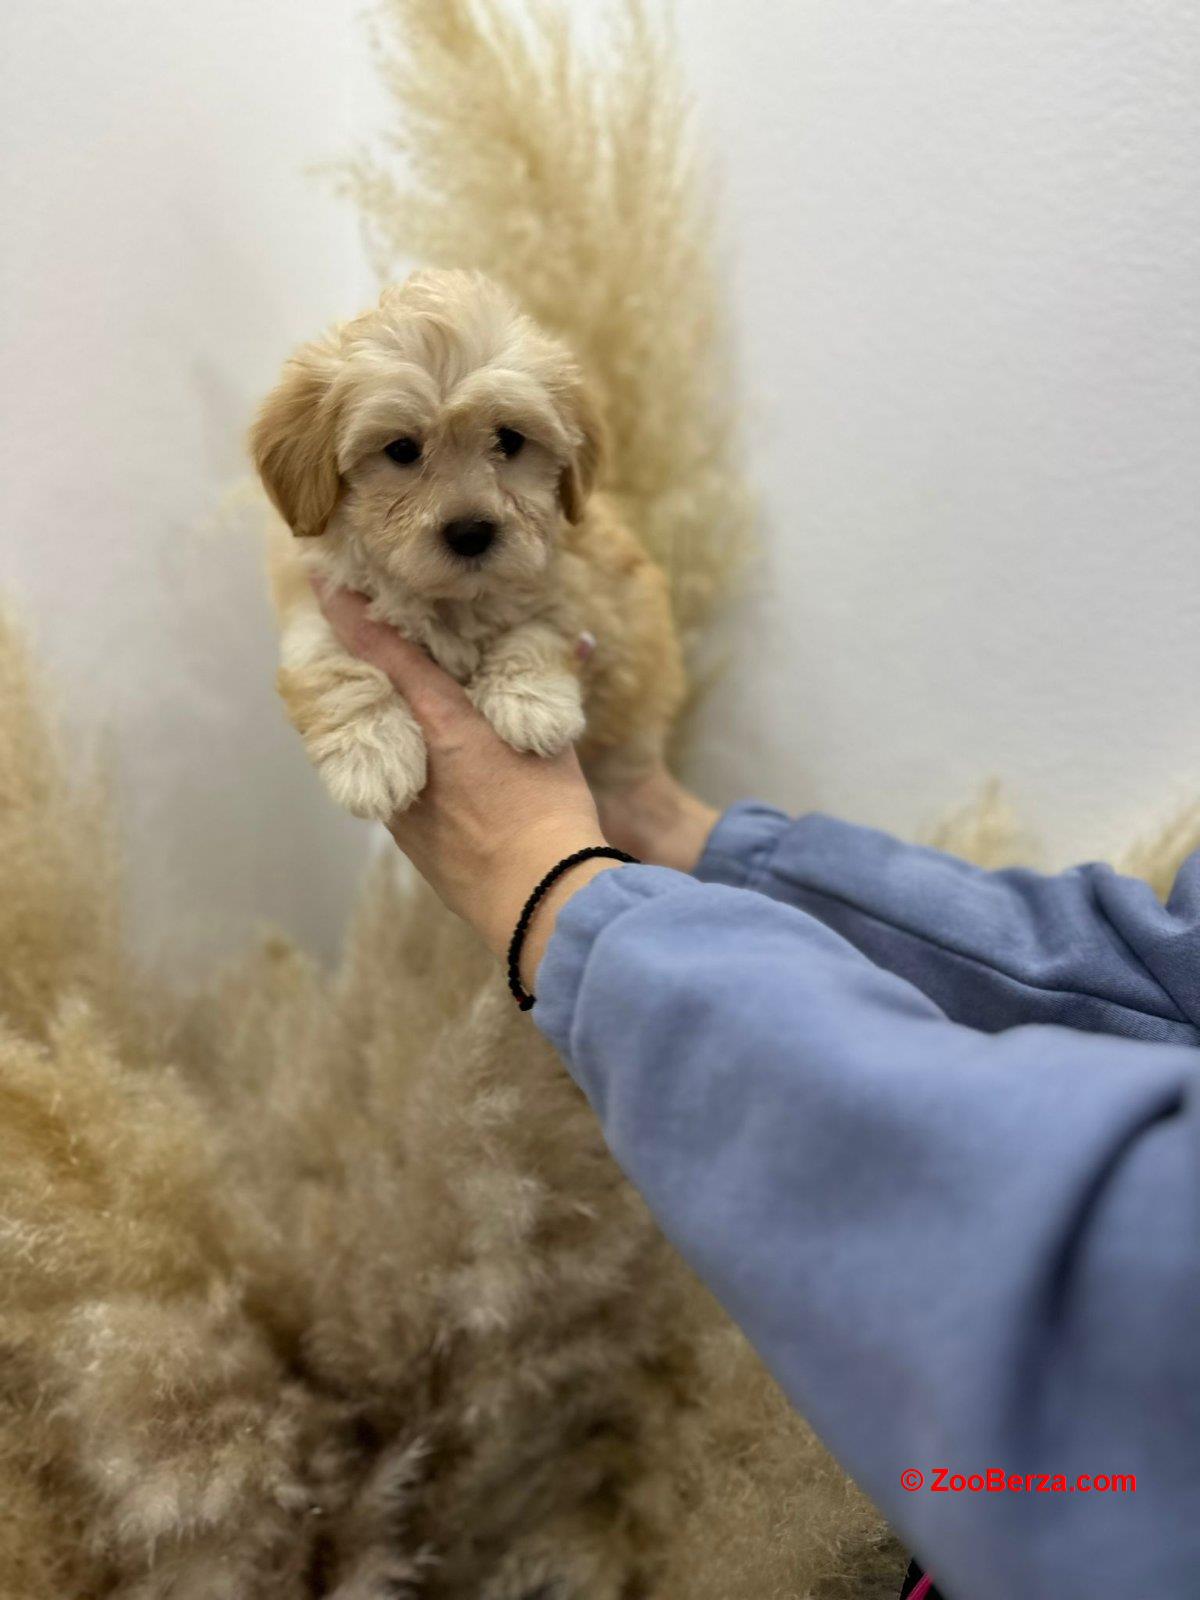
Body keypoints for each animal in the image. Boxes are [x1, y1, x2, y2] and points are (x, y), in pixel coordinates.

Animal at [251, 268, 684, 819]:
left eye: (510, 440)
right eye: (401, 450)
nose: (472, 533)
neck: (449, 599)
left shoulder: (584, 593)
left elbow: (539, 630)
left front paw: (531, 704)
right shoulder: (319, 596)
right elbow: (333, 664)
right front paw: (371, 756)